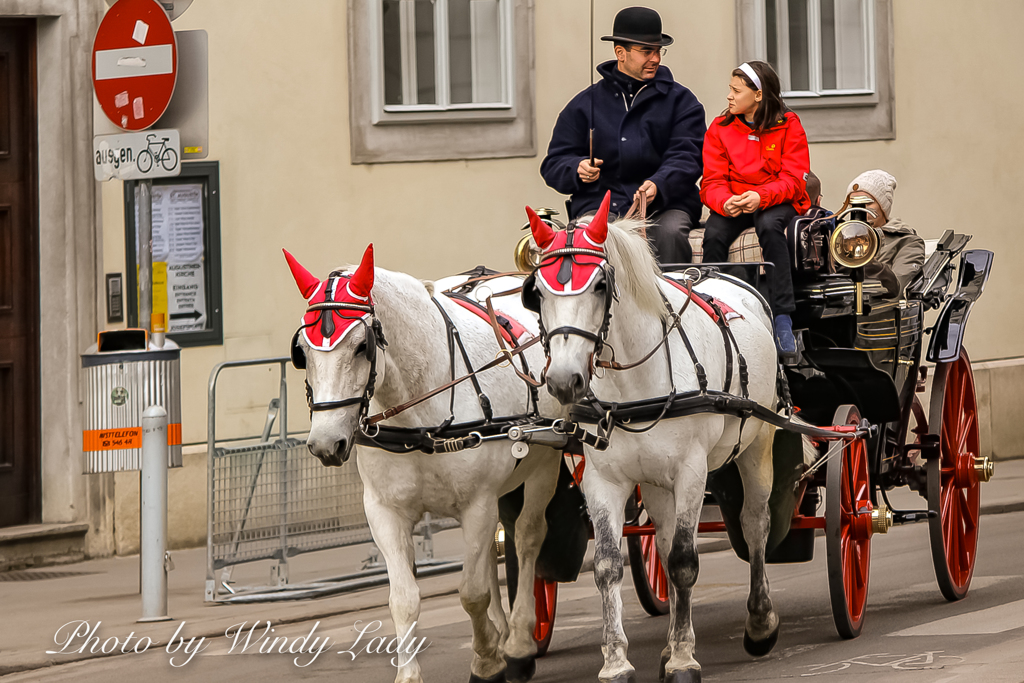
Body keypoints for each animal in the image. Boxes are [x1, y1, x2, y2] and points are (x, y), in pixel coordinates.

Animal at [284, 245, 565, 683]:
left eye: (361, 346)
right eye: (303, 352)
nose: (325, 443)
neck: (420, 414)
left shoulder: (478, 502)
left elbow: (472, 592)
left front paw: (487, 663)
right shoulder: (384, 511)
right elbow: (405, 598)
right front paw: (414, 672)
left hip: (544, 462)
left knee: (527, 537)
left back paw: (518, 642)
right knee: (490, 556)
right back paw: (501, 635)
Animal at [528, 193, 782, 683]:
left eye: (599, 286)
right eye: (538, 293)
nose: (564, 381)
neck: (634, 387)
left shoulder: (691, 471)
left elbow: (684, 561)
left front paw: (684, 659)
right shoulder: (603, 480)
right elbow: (609, 566)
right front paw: (617, 662)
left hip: (757, 443)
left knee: (754, 523)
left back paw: (760, 620)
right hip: (655, 480)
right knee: (661, 543)